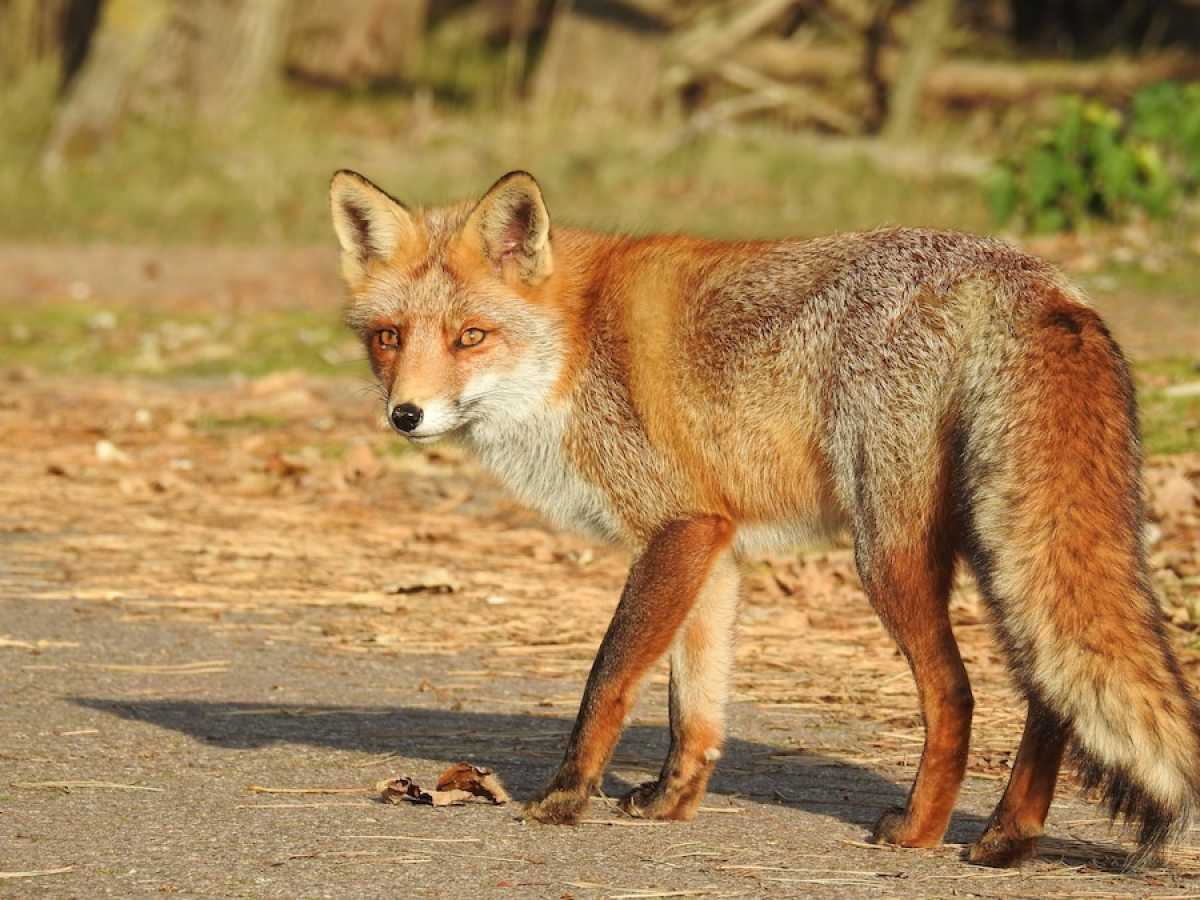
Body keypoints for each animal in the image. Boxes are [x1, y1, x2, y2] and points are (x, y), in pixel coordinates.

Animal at [326, 168, 1200, 868]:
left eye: (471, 336)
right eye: (389, 338)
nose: (406, 414)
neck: (574, 346)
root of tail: (1030, 275)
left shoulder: (676, 528)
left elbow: (609, 678)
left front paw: (565, 796)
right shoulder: (713, 542)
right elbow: (694, 706)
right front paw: (670, 804)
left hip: (890, 552)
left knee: (957, 692)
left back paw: (920, 831)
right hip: (1001, 550)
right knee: (1051, 696)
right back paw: (1006, 840)